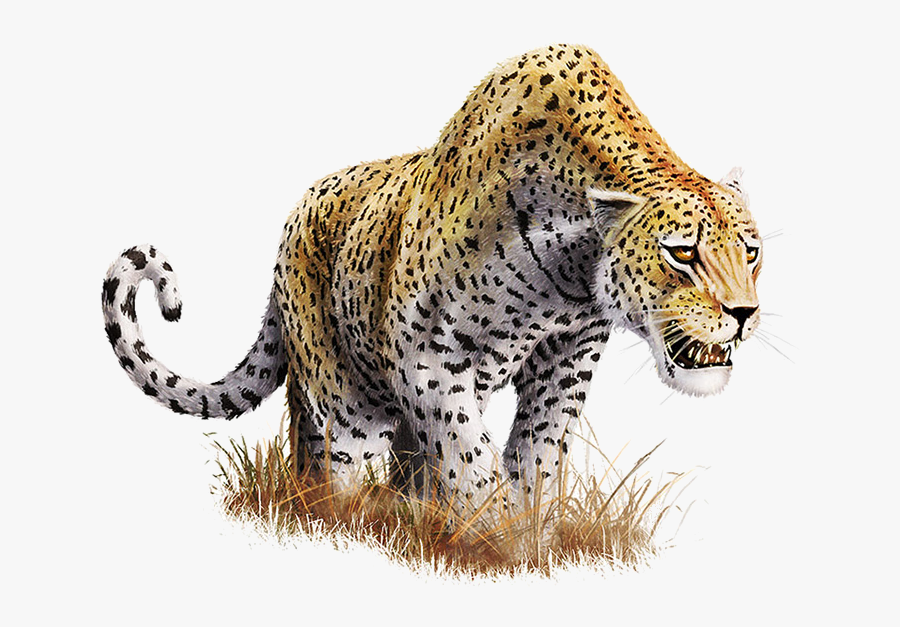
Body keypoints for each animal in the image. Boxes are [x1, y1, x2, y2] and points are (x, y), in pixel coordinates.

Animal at [102, 44, 761, 512]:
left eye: (752, 254)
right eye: (682, 254)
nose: (744, 313)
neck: (574, 273)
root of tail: (293, 219)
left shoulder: (566, 360)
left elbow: (538, 454)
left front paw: (530, 533)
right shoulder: (428, 356)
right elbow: (470, 457)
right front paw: (495, 535)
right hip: (345, 396)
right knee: (339, 466)